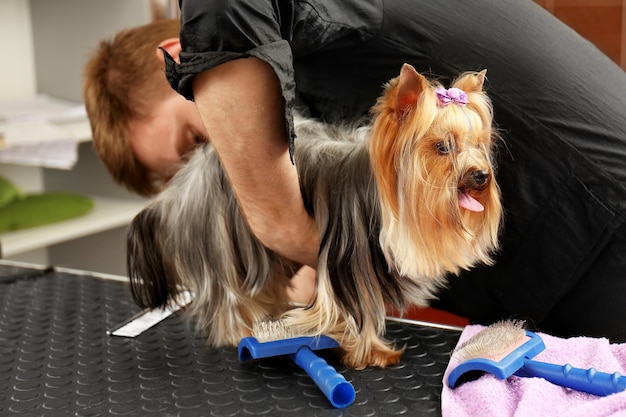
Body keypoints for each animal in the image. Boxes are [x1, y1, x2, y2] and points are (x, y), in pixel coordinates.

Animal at [127, 63, 502, 368]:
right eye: (442, 147)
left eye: (478, 144)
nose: (481, 175)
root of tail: (186, 180)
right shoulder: (347, 265)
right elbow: (356, 309)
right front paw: (369, 353)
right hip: (223, 242)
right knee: (229, 293)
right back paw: (241, 329)